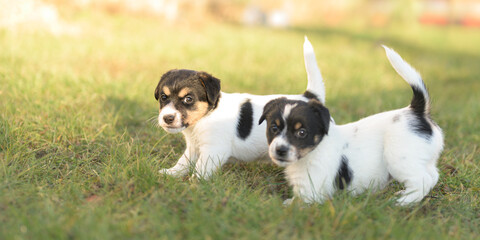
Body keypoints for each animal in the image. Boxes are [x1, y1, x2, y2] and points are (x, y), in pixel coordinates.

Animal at [154, 37, 326, 179]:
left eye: (188, 99)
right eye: (163, 97)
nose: (167, 118)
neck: (206, 117)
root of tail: (309, 97)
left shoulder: (214, 149)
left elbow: (201, 170)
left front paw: (193, 184)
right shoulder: (193, 147)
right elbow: (183, 162)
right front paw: (170, 174)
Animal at [260, 46, 444, 205]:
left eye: (302, 132)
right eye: (274, 128)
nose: (280, 150)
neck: (314, 150)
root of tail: (416, 111)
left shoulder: (312, 190)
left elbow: (298, 203)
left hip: (400, 159)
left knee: (422, 180)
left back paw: (403, 201)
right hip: (423, 159)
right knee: (433, 176)